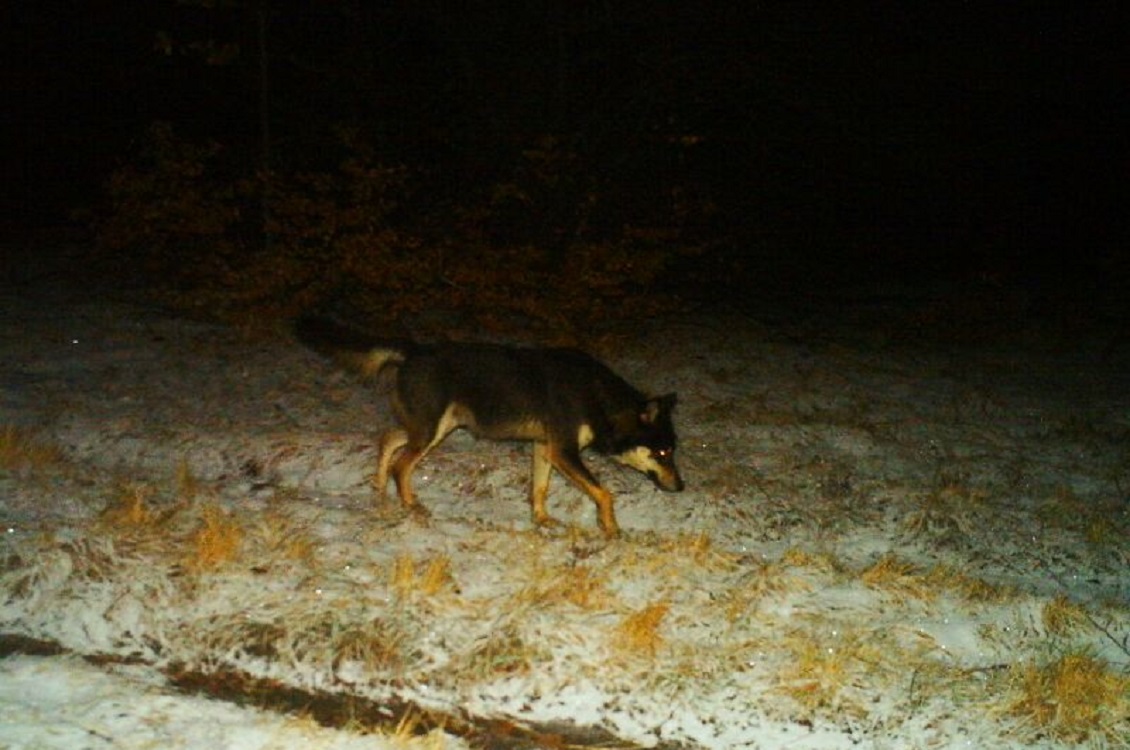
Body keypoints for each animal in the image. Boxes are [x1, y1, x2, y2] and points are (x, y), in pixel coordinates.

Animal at [294, 317, 683, 537]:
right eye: (663, 452)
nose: (681, 487)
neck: (596, 395)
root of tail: (414, 349)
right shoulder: (564, 451)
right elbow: (604, 493)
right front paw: (611, 529)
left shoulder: (546, 449)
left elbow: (540, 490)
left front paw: (542, 521)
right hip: (431, 432)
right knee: (401, 465)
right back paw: (411, 506)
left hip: (434, 428)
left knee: (388, 438)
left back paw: (379, 488)